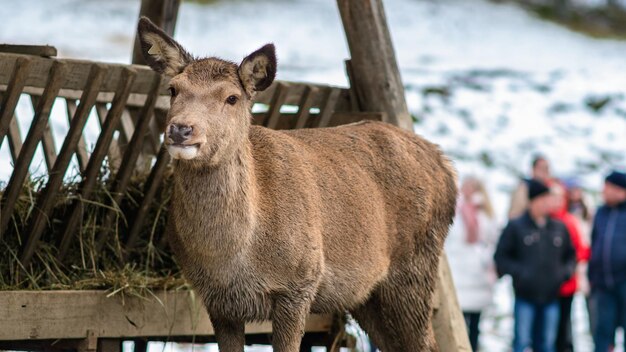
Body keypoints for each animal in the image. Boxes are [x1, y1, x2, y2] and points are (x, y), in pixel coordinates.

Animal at [139, 16, 456, 352]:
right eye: (173, 89)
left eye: (232, 97)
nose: (181, 129)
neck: (232, 259)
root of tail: (447, 167)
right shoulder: (217, 301)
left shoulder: (299, 284)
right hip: (368, 294)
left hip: (415, 268)